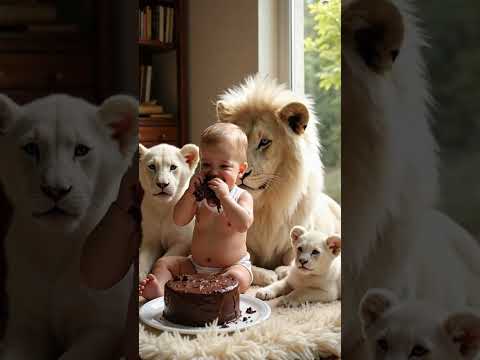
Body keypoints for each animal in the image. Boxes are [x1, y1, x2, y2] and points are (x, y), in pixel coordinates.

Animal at [218, 74, 342, 286]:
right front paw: (268, 275)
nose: (240, 174)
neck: (265, 206)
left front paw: (283, 271)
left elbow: (292, 258)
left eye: (264, 142)